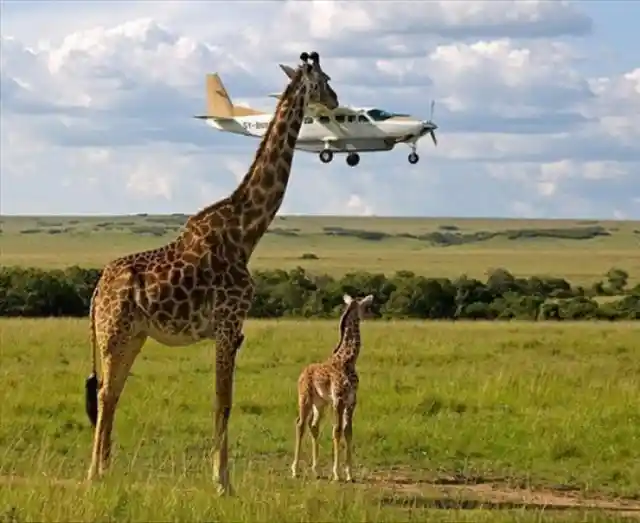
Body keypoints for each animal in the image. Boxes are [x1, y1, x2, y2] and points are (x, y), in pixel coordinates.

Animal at [85, 52, 340, 496]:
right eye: (323, 79)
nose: (336, 98)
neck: (246, 231)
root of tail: (97, 291)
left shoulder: (232, 330)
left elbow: (222, 401)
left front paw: (220, 477)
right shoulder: (227, 324)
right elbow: (224, 401)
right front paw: (223, 482)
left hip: (133, 335)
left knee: (112, 392)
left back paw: (107, 469)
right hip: (113, 332)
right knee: (103, 392)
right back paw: (94, 473)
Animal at [292, 294, 376, 484]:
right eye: (366, 306)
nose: (373, 315)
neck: (348, 360)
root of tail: (302, 373)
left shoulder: (351, 401)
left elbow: (348, 431)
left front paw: (350, 474)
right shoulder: (338, 400)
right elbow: (337, 431)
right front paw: (337, 474)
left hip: (320, 403)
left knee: (313, 425)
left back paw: (316, 470)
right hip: (305, 398)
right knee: (300, 424)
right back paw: (295, 470)